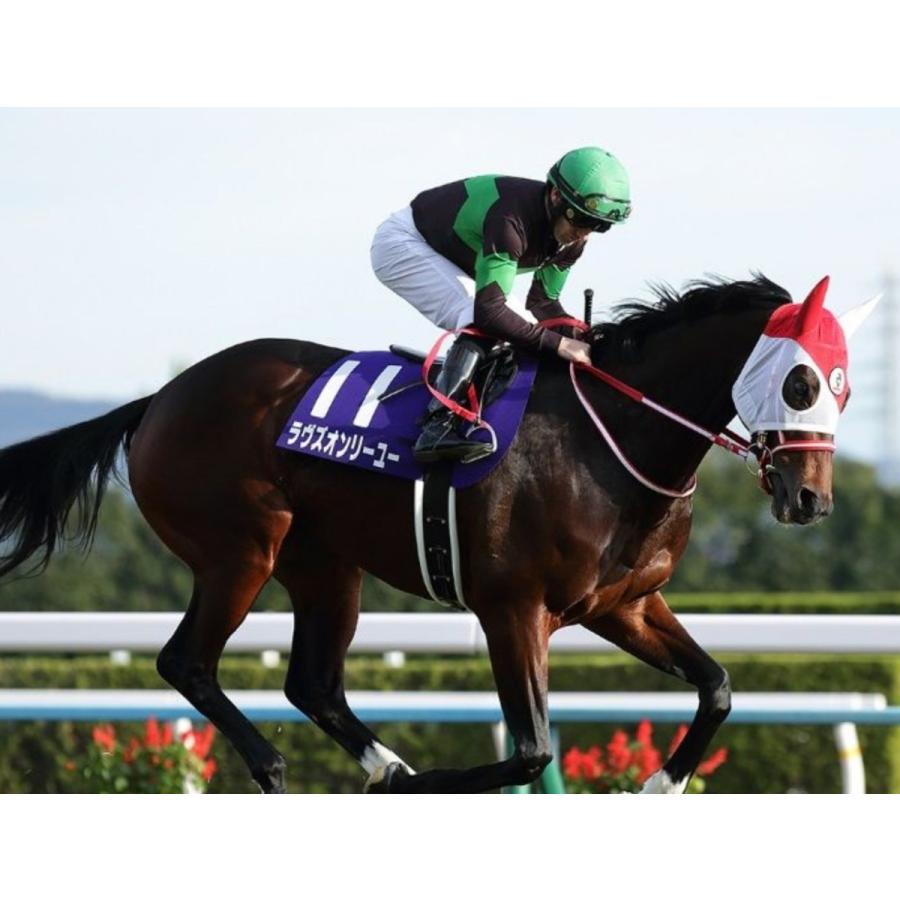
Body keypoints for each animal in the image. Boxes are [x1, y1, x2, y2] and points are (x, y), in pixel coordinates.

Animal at [0, 273, 870, 793]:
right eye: (800, 382)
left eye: (845, 387)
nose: (811, 500)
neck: (614, 437)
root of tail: (159, 399)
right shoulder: (514, 608)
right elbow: (531, 750)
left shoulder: (623, 605)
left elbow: (718, 687)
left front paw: (664, 781)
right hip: (239, 551)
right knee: (187, 661)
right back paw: (291, 767)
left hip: (326, 567)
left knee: (312, 683)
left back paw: (380, 764)